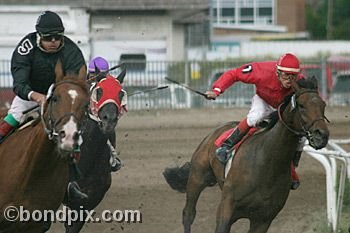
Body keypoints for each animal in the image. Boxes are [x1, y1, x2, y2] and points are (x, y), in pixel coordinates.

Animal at [163, 77, 330, 233]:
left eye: (323, 105)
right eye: (301, 105)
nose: (322, 135)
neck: (268, 164)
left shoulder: (263, 219)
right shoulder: (226, 209)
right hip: (197, 177)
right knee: (188, 214)